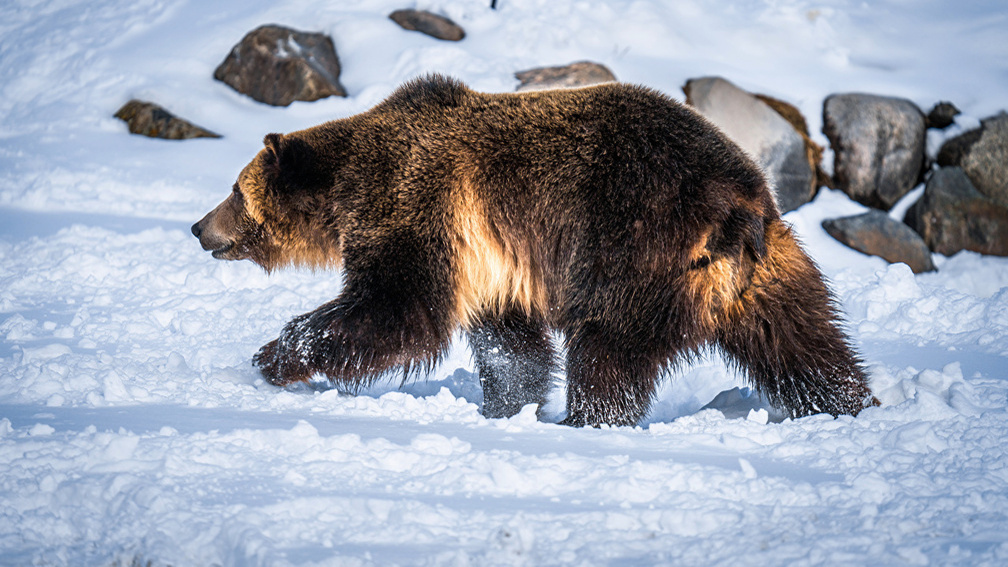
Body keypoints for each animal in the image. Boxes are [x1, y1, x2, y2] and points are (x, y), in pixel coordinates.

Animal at [192, 74, 878, 423]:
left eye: (234, 190)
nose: (199, 227)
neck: (348, 189)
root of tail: (738, 207)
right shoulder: (493, 263)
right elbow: (511, 347)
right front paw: (505, 405)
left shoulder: (418, 204)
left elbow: (398, 308)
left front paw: (275, 355)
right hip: (771, 271)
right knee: (806, 343)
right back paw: (850, 404)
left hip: (632, 249)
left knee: (606, 352)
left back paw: (589, 419)